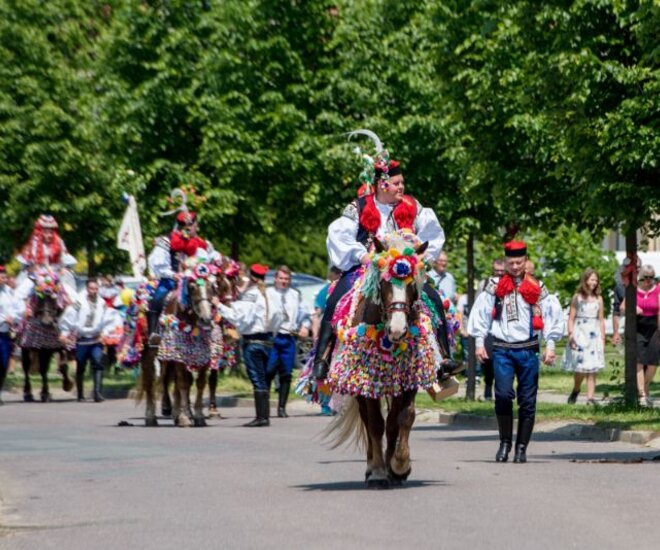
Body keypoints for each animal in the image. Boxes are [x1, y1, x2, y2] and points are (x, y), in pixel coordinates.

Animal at [19, 270, 73, 404]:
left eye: (54, 299)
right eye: (39, 298)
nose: (46, 321)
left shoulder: (61, 345)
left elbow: (63, 365)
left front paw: (68, 384)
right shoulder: (44, 349)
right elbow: (43, 369)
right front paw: (45, 393)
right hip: (26, 348)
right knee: (26, 367)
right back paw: (28, 393)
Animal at [324, 231, 440, 490]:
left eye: (412, 286)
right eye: (384, 283)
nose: (397, 330)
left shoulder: (409, 378)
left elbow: (404, 418)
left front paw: (400, 465)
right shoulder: (367, 382)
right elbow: (376, 424)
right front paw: (378, 472)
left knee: (392, 422)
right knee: (369, 422)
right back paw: (373, 468)